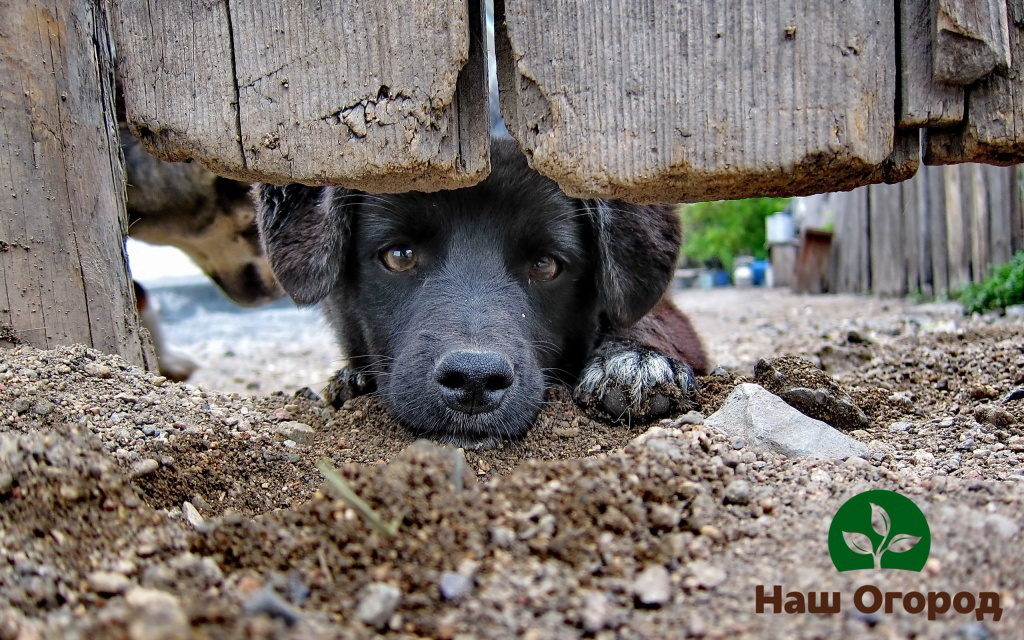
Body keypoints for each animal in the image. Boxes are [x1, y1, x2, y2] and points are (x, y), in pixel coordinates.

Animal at [252, 136, 708, 444]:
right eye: (399, 255)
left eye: (546, 265)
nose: (474, 381)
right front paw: (353, 378)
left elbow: (648, 321)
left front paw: (635, 361)